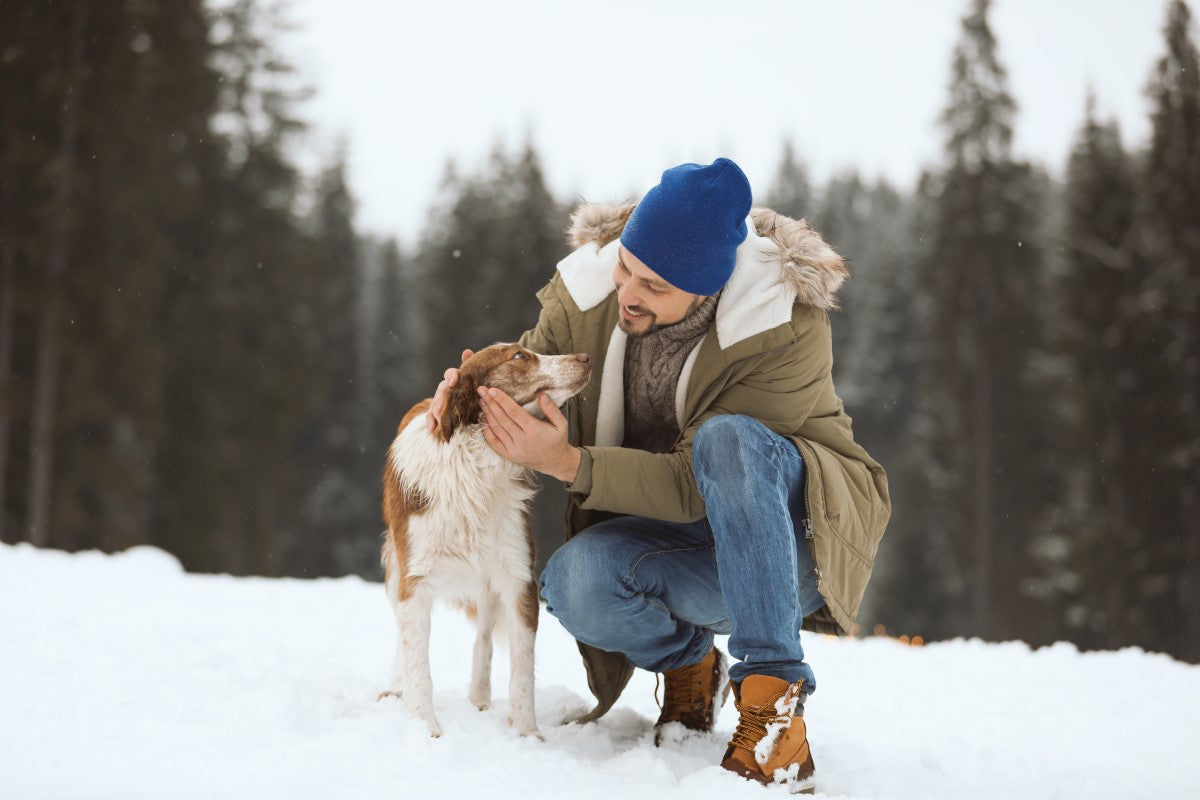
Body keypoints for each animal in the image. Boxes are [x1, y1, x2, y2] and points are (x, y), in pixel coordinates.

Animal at [379, 343, 590, 738]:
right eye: (519, 356)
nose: (585, 358)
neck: (477, 466)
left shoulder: (518, 577)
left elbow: (522, 668)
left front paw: (527, 734)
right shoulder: (415, 581)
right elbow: (417, 661)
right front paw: (426, 728)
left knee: (485, 633)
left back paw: (479, 695)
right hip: (396, 568)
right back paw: (395, 689)